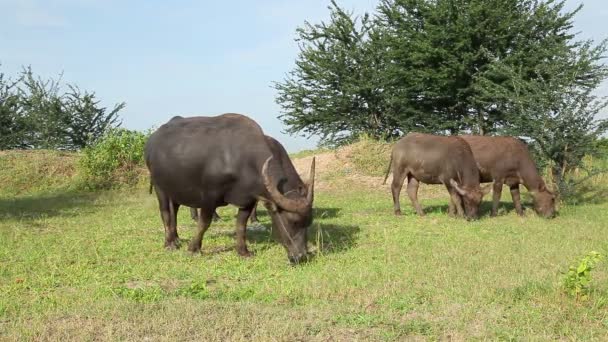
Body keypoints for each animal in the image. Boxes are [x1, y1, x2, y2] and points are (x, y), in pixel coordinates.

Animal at [145, 113, 316, 264]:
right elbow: (204, 223)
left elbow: (241, 225)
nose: (301, 257)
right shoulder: (209, 196)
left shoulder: (248, 200)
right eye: (292, 221)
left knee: (174, 211)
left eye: (308, 223)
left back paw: (176, 239)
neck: (240, 158)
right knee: (166, 213)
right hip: (160, 187)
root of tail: (152, 142)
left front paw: (243, 251)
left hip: (175, 190)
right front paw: (194, 248)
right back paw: (169, 243)